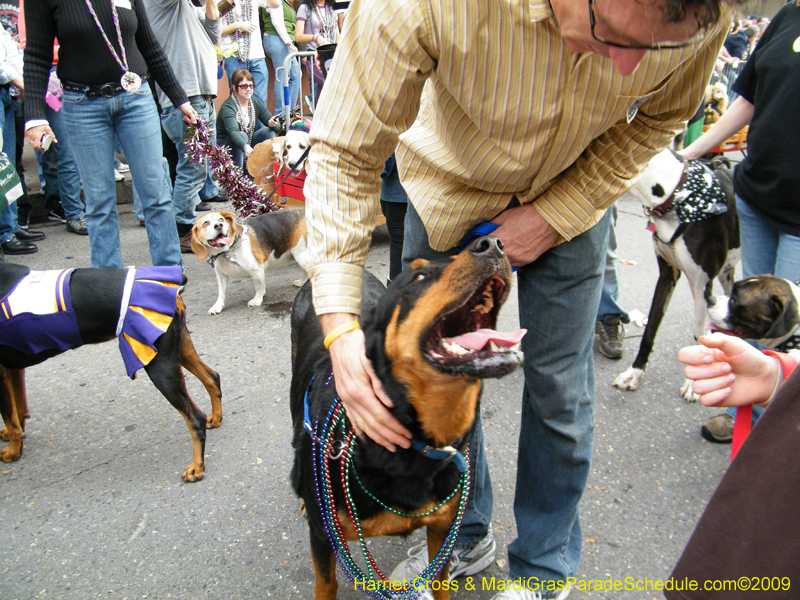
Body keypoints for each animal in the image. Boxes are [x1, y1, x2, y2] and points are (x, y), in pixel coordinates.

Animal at [0, 264, 222, 482]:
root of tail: (171, 287)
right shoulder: (13, 365)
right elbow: (18, 408)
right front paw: (15, 436)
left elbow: (9, 416)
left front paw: (13, 451)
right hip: (179, 347)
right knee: (212, 377)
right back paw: (216, 417)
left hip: (160, 364)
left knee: (195, 418)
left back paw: (197, 467)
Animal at [290, 237, 528, 600]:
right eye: (418, 278)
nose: (494, 244)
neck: (416, 447)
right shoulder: (322, 536)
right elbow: (326, 583)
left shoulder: (443, 529)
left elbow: (440, 582)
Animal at [616, 148, 740, 400]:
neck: (678, 195)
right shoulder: (667, 276)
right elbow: (650, 330)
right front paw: (635, 372)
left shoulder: (702, 285)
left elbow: (698, 335)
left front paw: (694, 382)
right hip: (726, 274)